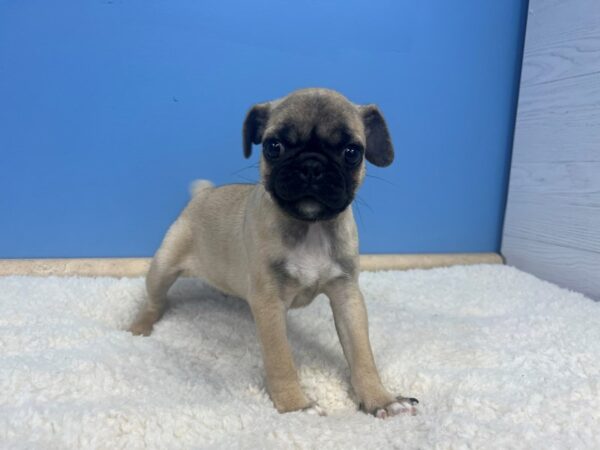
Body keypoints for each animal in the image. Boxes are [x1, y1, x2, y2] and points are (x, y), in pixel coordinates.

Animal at [126, 87, 418, 418]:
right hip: (163, 265)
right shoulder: (269, 303)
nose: (312, 166)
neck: (311, 227)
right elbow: (281, 359)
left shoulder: (347, 297)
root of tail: (203, 193)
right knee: (155, 300)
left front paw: (380, 399)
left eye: (352, 152)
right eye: (273, 147)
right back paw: (140, 327)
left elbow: (362, 353)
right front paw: (296, 406)